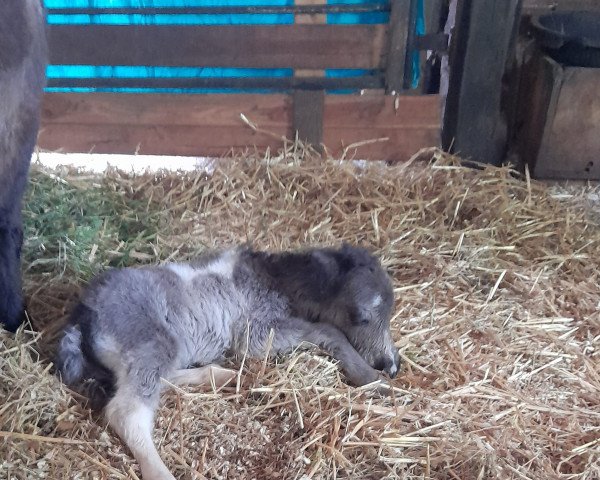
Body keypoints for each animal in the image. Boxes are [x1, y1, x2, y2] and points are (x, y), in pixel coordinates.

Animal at [56, 244, 400, 480]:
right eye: (361, 316)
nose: (389, 363)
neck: (276, 280)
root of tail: (83, 313)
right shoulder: (256, 332)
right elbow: (329, 331)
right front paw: (371, 379)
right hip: (150, 341)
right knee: (126, 411)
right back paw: (161, 472)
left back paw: (222, 376)